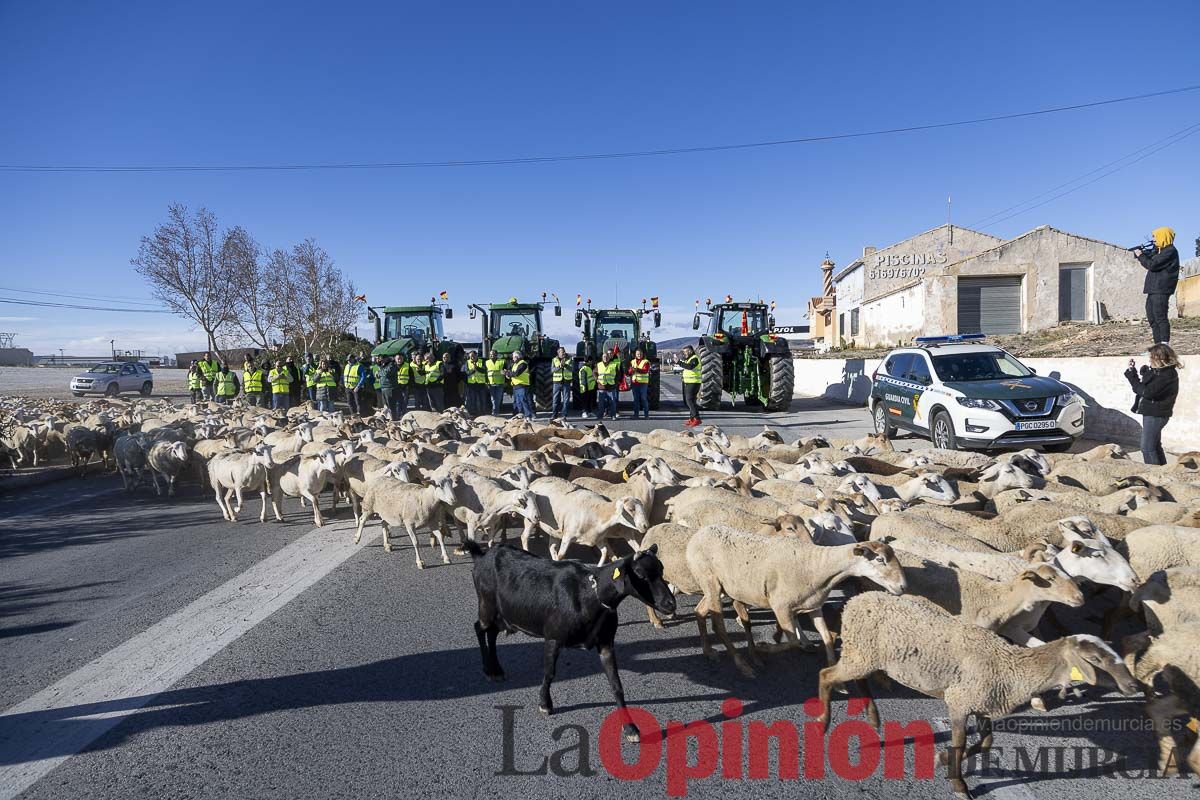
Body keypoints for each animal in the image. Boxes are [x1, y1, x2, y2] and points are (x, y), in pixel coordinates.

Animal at [465, 542, 676, 743]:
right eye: (640, 574)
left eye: (661, 569)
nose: (670, 604)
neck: (589, 595)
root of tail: (482, 555)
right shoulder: (553, 638)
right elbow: (549, 673)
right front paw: (545, 705)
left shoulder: (606, 643)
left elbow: (617, 685)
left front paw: (631, 729)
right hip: (487, 606)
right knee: (479, 628)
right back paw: (488, 670)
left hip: (502, 615)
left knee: (492, 633)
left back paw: (497, 670)